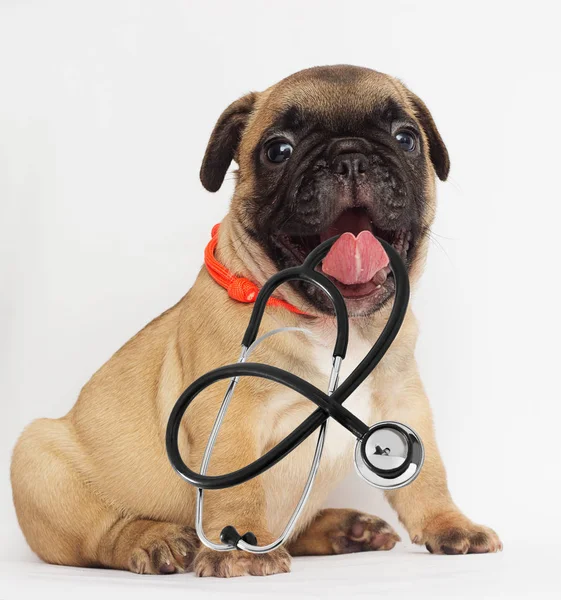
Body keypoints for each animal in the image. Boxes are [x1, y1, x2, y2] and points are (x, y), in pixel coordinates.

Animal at [10, 64, 500, 576]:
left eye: (406, 138)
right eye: (278, 150)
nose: (350, 157)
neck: (331, 321)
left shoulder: (405, 402)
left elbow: (429, 475)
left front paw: (451, 524)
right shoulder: (227, 414)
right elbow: (237, 481)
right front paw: (240, 544)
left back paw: (344, 528)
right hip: (38, 459)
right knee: (103, 537)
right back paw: (155, 540)